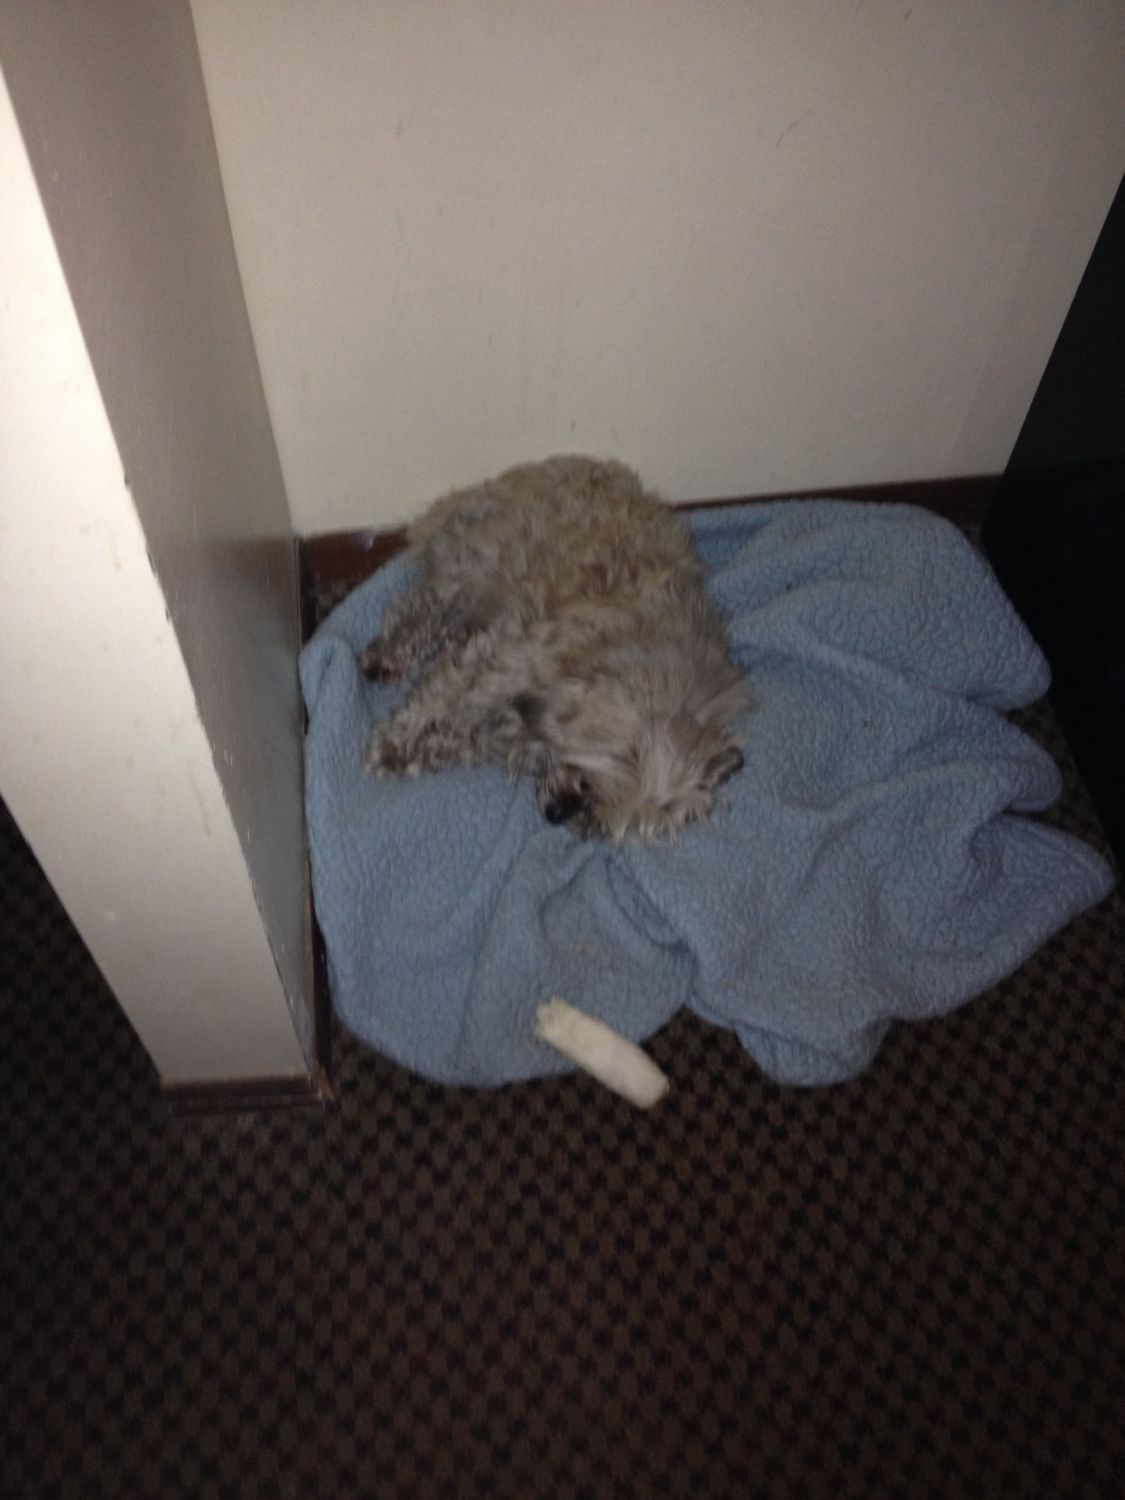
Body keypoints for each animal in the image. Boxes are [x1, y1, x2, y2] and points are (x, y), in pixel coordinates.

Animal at [362, 456, 749, 842]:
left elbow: (464, 738)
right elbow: (440, 698)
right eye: (586, 785)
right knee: (419, 609)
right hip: (469, 572)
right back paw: (387, 656)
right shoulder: (505, 655)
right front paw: (395, 743)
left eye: (597, 822)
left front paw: (419, 754)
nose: (556, 814)